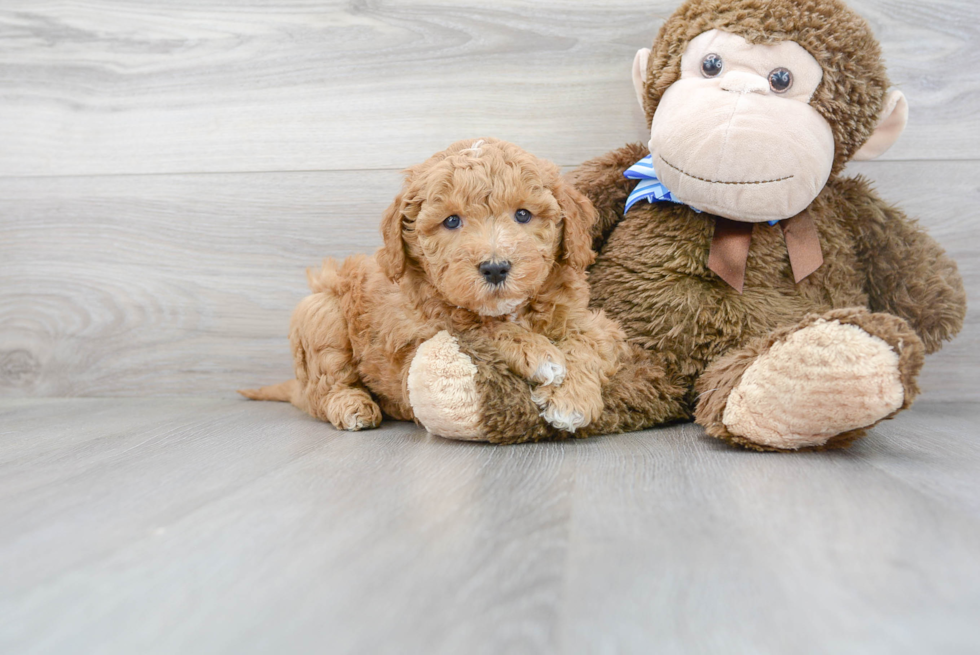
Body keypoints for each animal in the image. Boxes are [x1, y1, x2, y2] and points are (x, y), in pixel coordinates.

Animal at [242, 137, 632, 436]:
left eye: (523, 214)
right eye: (451, 221)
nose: (495, 268)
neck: (510, 310)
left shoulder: (589, 321)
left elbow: (588, 342)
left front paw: (571, 400)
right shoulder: (414, 346)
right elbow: (475, 326)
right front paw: (540, 355)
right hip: (321, 313)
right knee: (324, 388)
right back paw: (353, 407)